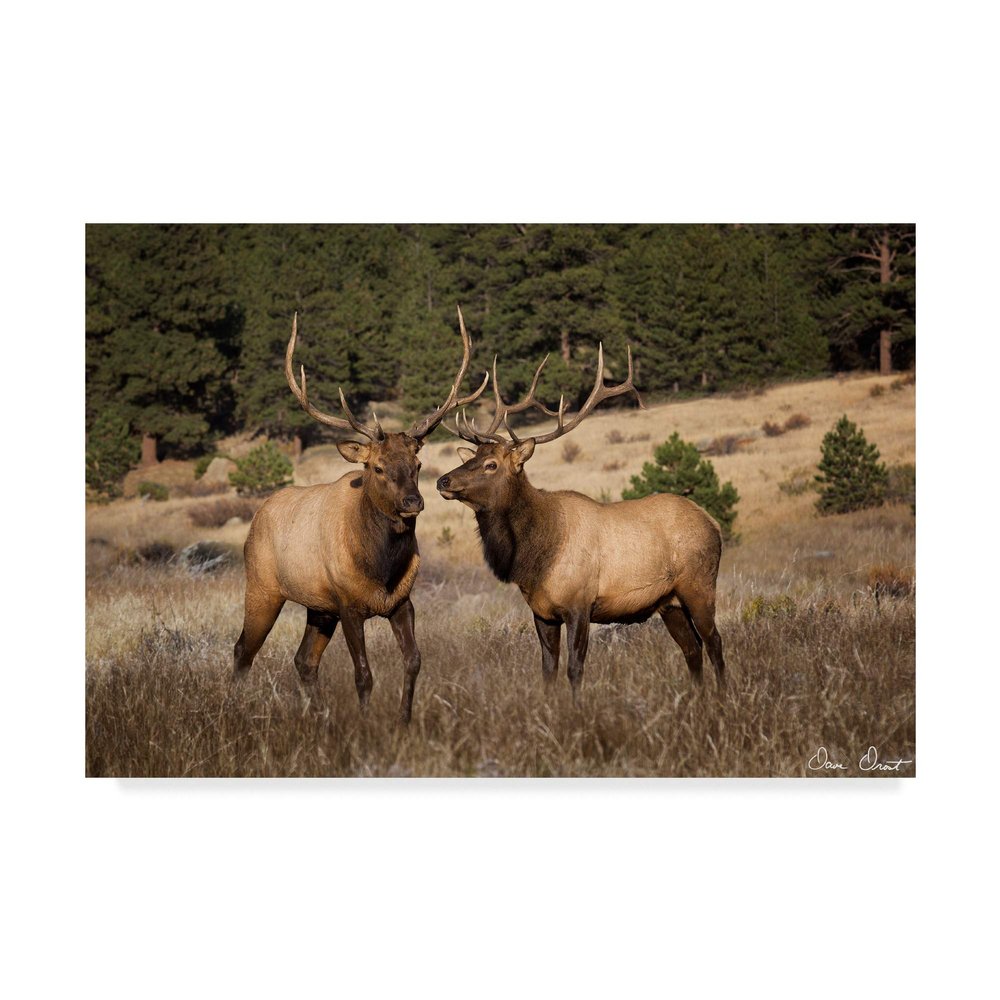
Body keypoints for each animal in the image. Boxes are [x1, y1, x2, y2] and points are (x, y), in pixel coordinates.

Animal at [234, 307, 488, 724]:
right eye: (377, 468)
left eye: (418, 464)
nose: (412, 502)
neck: (381, 567)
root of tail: (257, 518)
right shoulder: (348, 604)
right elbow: (363, 675)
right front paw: (367, 724)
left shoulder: (401, 602)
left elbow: (414, 661)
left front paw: (403, 720)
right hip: (263, 587)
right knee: (243, 651)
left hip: (318, 607)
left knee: (303, 661)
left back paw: (319, 717)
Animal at [435, 347, 726, 701]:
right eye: (472, 458)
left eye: (491, 464)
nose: (443, 480)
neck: (533, 559)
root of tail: (713, 522)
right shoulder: (541, 611)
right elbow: (548, 670)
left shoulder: (579, 603)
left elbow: (575, 669)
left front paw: (578, 709)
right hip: (668, 602)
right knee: (692, 648)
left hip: (699, 585)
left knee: (714, 642)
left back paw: (723, 699)